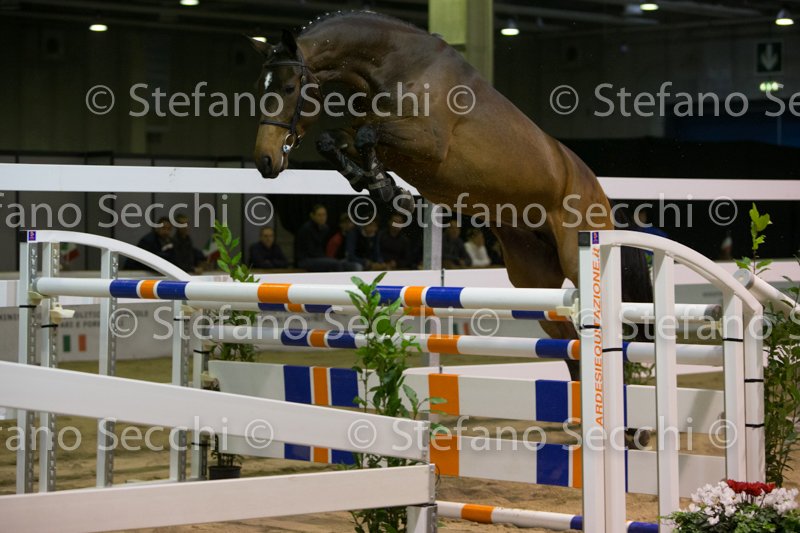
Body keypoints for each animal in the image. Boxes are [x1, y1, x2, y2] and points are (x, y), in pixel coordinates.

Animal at [250, 11, 652, 365]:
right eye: (260, 88)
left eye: (289, 88)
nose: (265, 161)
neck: (397, 66)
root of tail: (601, 199)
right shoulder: (383, 140)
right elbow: (335, 140)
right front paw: (384, 189)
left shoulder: (427, 141)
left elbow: (366, 134)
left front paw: (387, 190)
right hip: (534, 276)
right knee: (567, 343)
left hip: (576, 252)